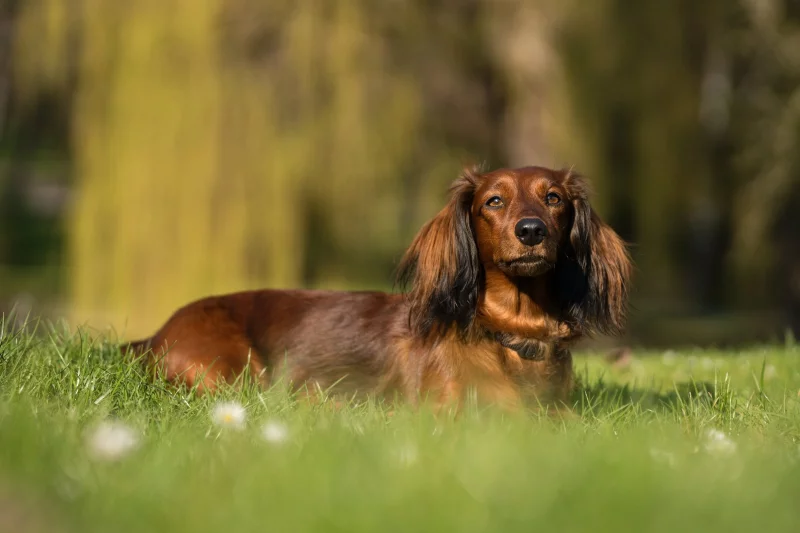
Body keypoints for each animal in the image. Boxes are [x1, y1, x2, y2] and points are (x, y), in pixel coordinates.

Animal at [122, 165, 632, 408]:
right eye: (493, 201)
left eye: (554, 198)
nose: (531, 231)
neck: (512, 333)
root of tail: (154, 335)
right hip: (233, 373)